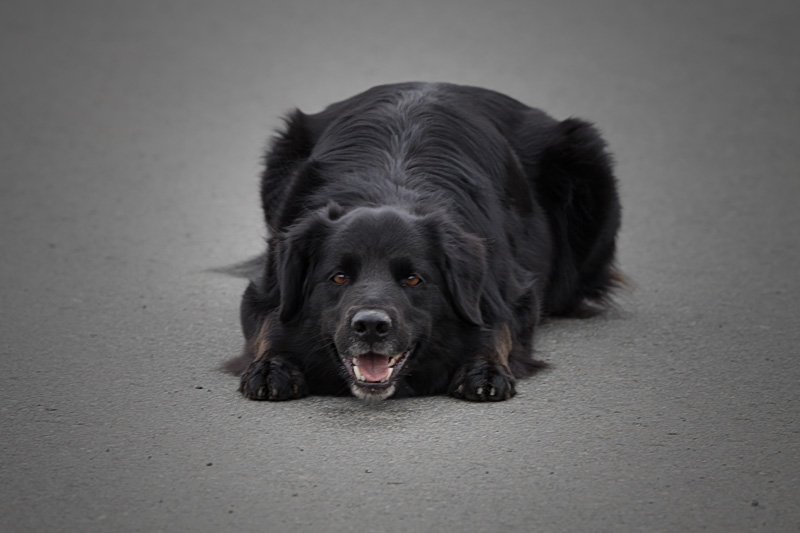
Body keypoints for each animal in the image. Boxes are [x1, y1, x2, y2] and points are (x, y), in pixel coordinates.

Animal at [228, 82, 620, 400]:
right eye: (338, 277)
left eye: (413, 279)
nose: (371, 326)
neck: (389, 188)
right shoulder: (268, 290)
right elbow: (268, 325)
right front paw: (271, 366)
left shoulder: (510, 293)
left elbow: (498, 328)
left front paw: (485, 368)